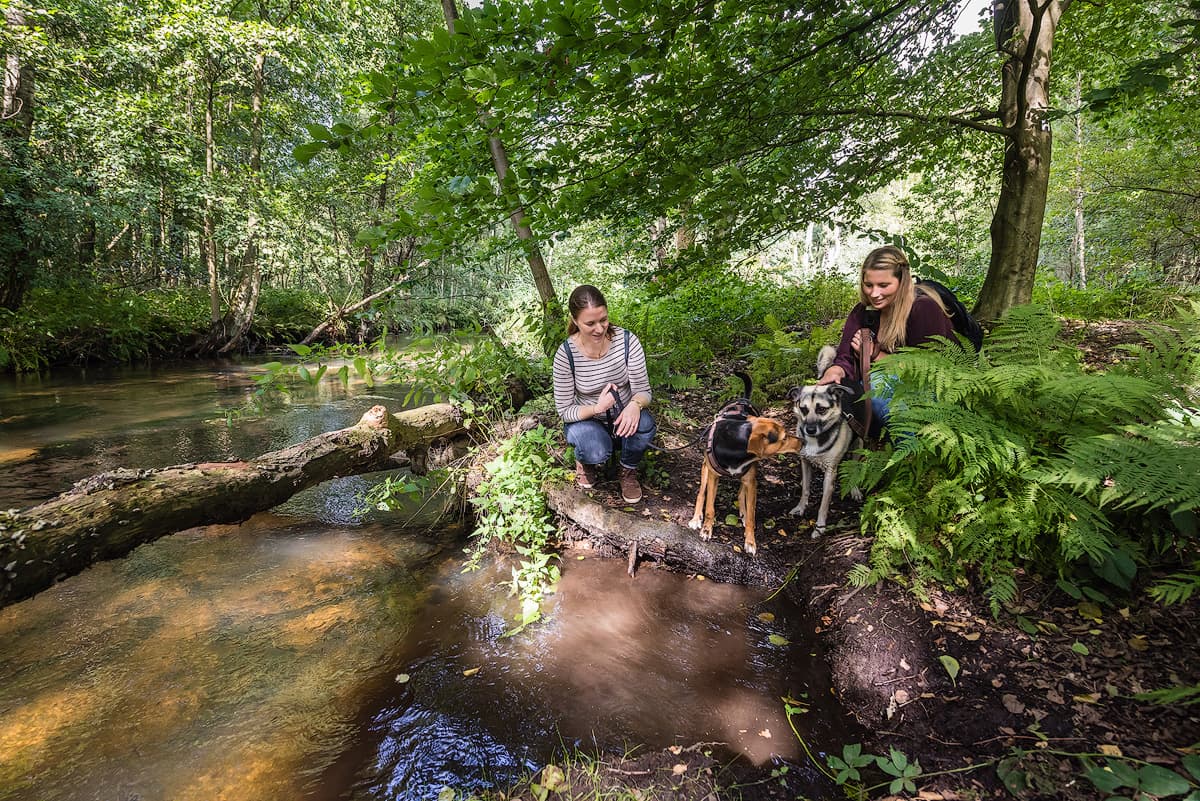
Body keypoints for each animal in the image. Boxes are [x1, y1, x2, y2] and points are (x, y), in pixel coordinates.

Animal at [691, 371, 801, 553]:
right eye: (784, 438)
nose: (802, 441)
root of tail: (743, 399)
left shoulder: (751, 480)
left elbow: (751, 515)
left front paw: (750, 541)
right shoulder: (714, 477)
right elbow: (710, 509)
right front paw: (707, 530)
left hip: (749, 477)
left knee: (741, 493)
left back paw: (742, 511)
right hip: (706, 467)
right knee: (701, 493)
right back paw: (695, 518)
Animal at [787, 345, 864, 537]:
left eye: (821, 409)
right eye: (803, 409)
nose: (810, 429)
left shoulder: (830, 474)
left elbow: (823, 504)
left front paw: (820, 527)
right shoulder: (805, 462)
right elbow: (805, 489)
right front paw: (801, 507)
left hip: (859, 441)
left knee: (854, 465)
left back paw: (854, 490)